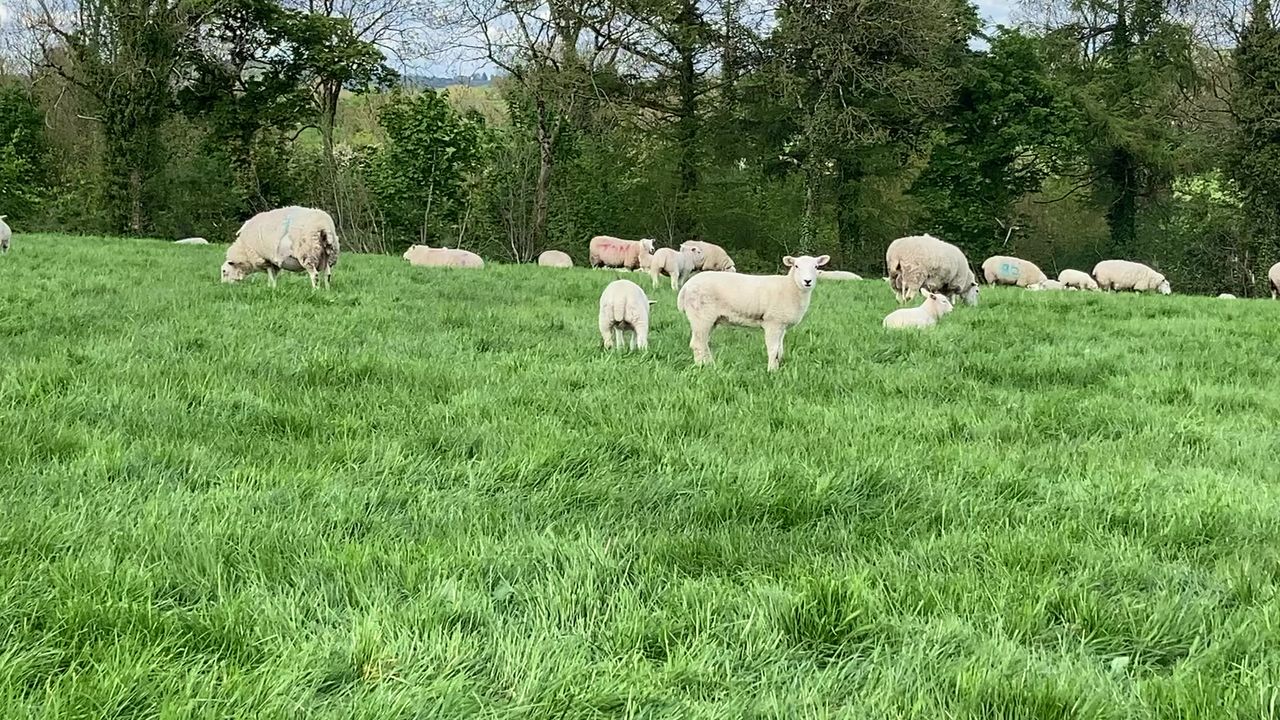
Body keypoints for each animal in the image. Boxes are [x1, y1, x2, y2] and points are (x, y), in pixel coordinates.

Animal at [676, 254, 829, 372]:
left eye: (816, 267)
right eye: (796, 266)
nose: (807, 281)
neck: (790, 287)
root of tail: (685, 288)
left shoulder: (782, 325)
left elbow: (780, 351)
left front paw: (777, 369)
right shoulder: (773, 322)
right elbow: (773, 349)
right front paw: (772, 372)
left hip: (708, 320)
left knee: (701, 343)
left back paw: (707, 365)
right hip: (700, 316)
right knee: (698, 344)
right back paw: (704, 367)